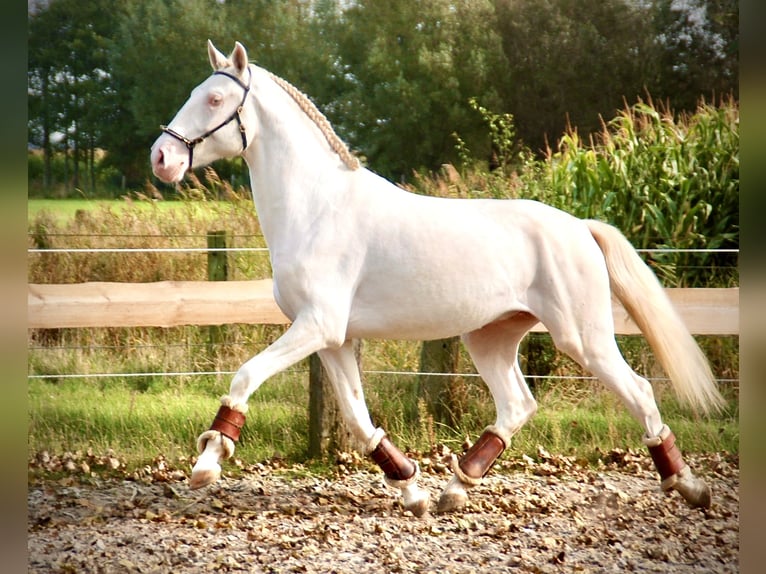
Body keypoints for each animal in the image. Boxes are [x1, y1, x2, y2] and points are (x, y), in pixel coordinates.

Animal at [150, 40, 728, 516]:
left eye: (216, 101)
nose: (162, 157)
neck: (316, 208)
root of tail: (580, 227)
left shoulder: (317, 326)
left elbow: (245, 376)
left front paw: (208, 462)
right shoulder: (333, 339)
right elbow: (358, 420)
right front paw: (413, 490)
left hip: (582, 338)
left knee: (639, 393)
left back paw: (690, 487)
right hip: (490, 336)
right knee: (518, 403)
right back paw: (455, 489)